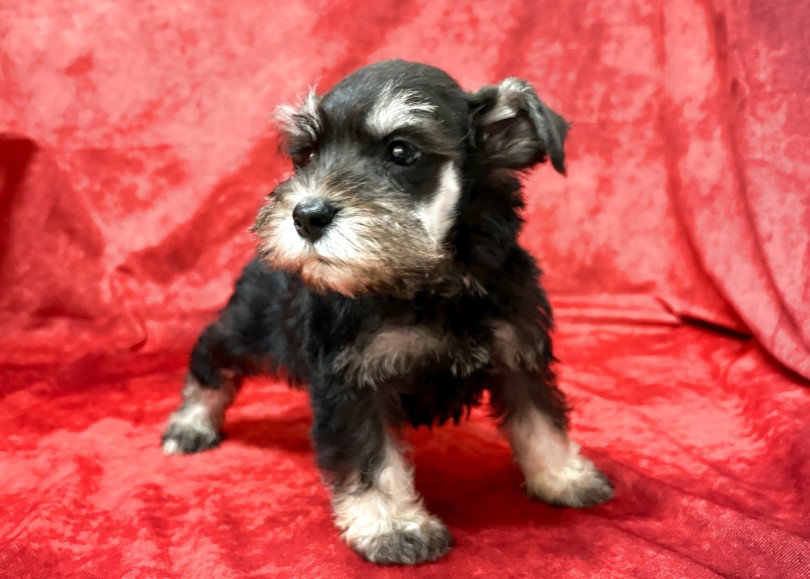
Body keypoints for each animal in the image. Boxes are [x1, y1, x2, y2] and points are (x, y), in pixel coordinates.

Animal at [162, 59, 614, 565]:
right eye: (307, 155)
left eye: (402, 151)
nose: (305, 215)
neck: (432, 283)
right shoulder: (353, 383)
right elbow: (370, 459)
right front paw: (393, 526)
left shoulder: (520, 353)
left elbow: (541, 421)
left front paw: (563, 476)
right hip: (249, 329)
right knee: (210, 356)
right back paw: (191, 422)